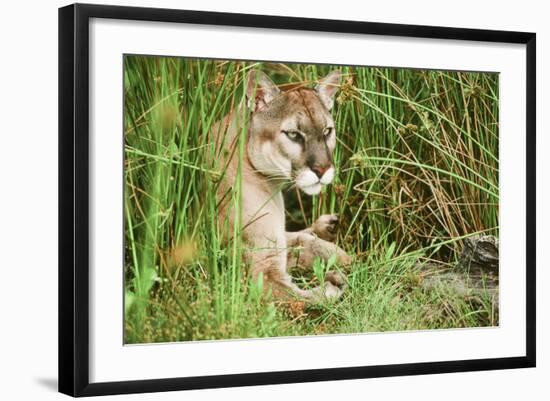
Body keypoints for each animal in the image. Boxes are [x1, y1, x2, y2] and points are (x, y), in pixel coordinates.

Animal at [213, 69, 352, 300]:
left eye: (326, 131)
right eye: (294, 134)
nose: (322, 170)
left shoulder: (277, 242)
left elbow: (303, 241)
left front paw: (340, 254)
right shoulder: (261, 273)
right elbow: (300, 298)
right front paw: (333, 284)